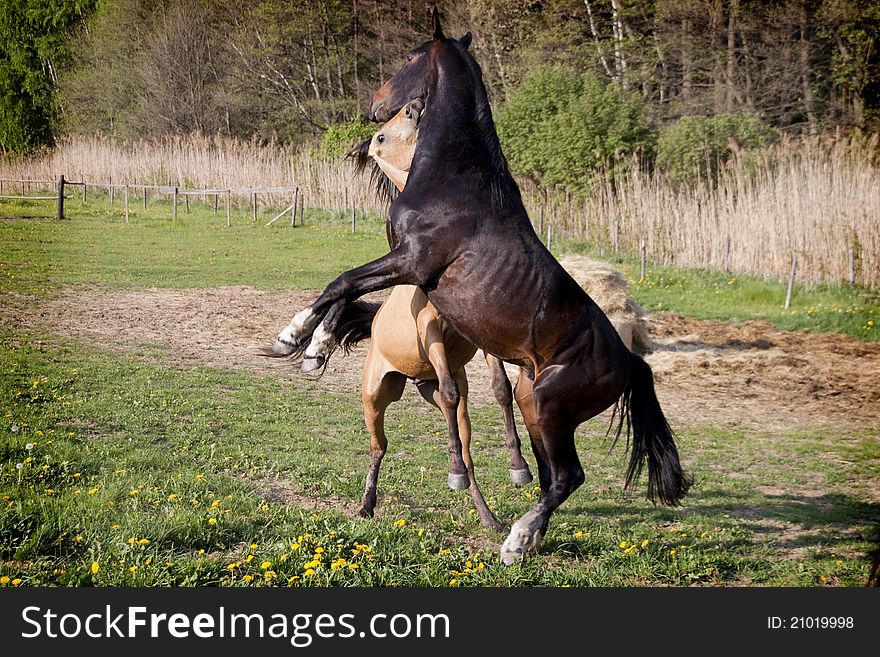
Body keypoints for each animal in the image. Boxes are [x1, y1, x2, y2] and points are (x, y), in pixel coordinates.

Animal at [272, 9, 692, 564]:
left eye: (409, 56)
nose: (376, 105)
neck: (454, 178)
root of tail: (628, 360)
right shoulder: (408, 272)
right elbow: (351, 291)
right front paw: (316, 346)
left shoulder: (412, 264)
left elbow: (341, 282)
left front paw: (294, 336)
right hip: (533, 402)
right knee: (551, 478)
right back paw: (526, 537)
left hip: (549, 406)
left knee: (568, 477)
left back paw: (515, 539)